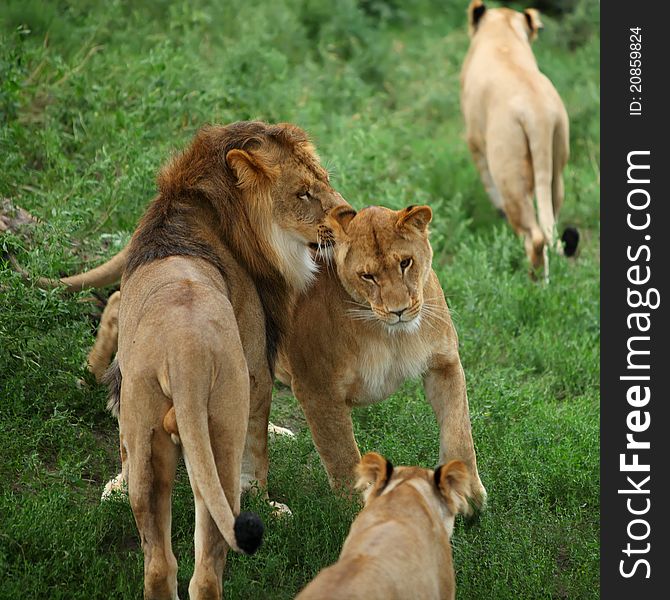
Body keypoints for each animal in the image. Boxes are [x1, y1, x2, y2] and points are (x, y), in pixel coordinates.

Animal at [107, 122, 350, 600]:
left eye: (325, 180)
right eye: (304, 193)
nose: (350, 215)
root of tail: (183, 355)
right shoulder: (256, 365)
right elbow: (257, 452)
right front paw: (268, 504)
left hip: (147, 434)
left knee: (159, 565)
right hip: (220, 425)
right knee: (205, 572)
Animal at [462, 0, 576, 276]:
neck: (503, 33)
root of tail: (539, 114)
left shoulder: (474, 140)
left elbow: (487, 180)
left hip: (509, 170)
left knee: (534, 236)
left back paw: (534, 281)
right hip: (556, 166)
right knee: (550, 223)